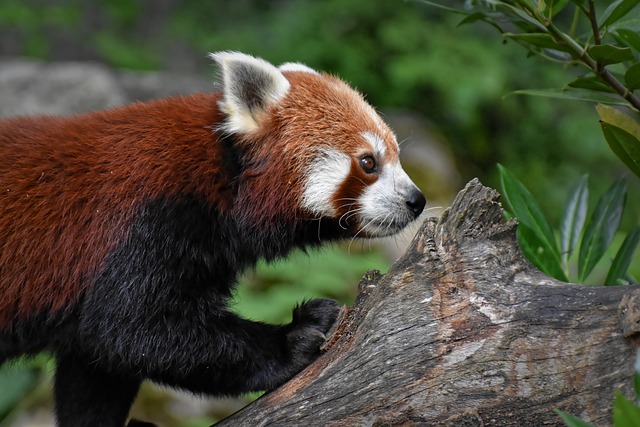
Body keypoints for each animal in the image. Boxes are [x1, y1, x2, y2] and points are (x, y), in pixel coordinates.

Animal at [0, 51, 424, 426]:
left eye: (397, 156)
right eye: (368, 162)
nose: (416, 200)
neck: (222, 177)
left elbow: (95, 364)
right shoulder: (147, 222)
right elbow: (129, 327)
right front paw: (294, 338)